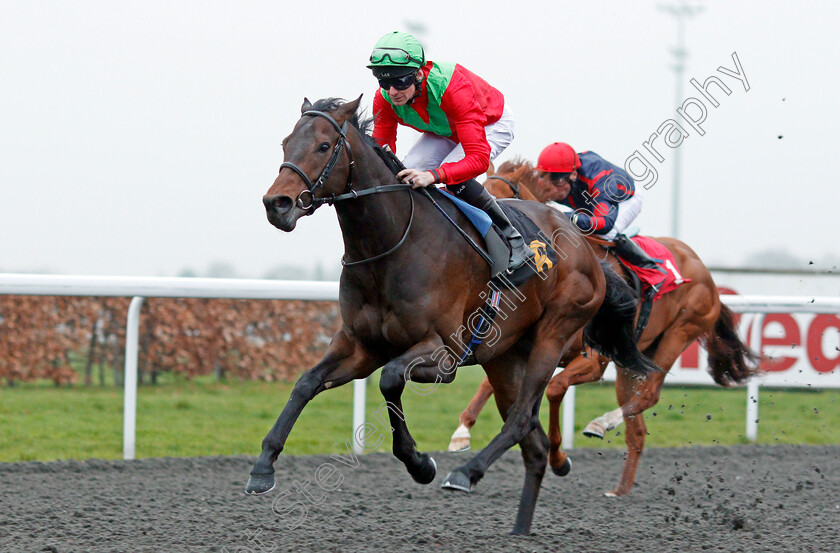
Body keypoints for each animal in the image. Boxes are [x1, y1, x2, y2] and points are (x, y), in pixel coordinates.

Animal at [253, 97, 660, 532]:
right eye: (286, 143)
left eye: (324, 146)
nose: (276, 204)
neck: (392, 244)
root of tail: (586, 248)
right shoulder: (360, 346)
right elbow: (305, 384)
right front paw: (263, 467)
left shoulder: (444, 352)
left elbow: (390, 379)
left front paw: (420, 463)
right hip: (504, 359)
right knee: (531, 443)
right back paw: (519, 528)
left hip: (554, 334)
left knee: (521, 418)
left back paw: (466, 472)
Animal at [452, 158, 760, 496]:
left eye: (499, 200)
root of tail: (706, 273)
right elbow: (491, 384)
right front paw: (461, 432)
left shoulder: (592, 360)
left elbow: (555, 389)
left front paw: (559, 457)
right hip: (631, 360)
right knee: (637, 429)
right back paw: (620, 490)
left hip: (681, 331)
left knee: (649, 395)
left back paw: (602, 423)